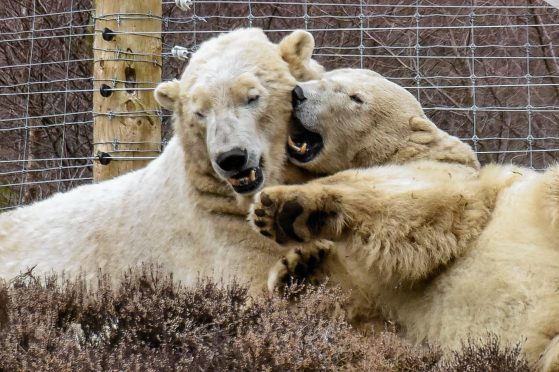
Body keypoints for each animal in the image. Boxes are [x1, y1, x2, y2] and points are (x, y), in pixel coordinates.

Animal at [249, 68, 559, 370]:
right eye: (328, 76)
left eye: (356, 97)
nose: (298, 93)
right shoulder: (385, 300)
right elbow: (360, 304)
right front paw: (298, 268)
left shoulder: (451, 178)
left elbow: (412, 201)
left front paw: (285, 208)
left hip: (547, 198)